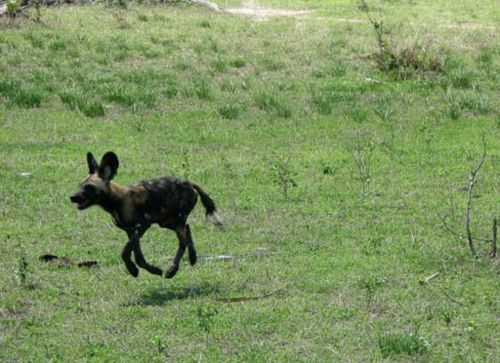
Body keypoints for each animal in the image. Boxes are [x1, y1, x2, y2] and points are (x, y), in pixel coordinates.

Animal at [69, 151, 224, 278]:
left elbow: (125, 253)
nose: (72, 197)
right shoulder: (131, 231)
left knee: (183, 241)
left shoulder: (142, 225)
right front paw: (150, 270)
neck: (117, 201)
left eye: (89, 187)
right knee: (188, 228)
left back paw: (172, 270)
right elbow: (138, 257)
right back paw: (192, 258)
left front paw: (134, 270)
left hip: (174, 221)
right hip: (167, 222)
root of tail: (189, 182)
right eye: (80, 185)